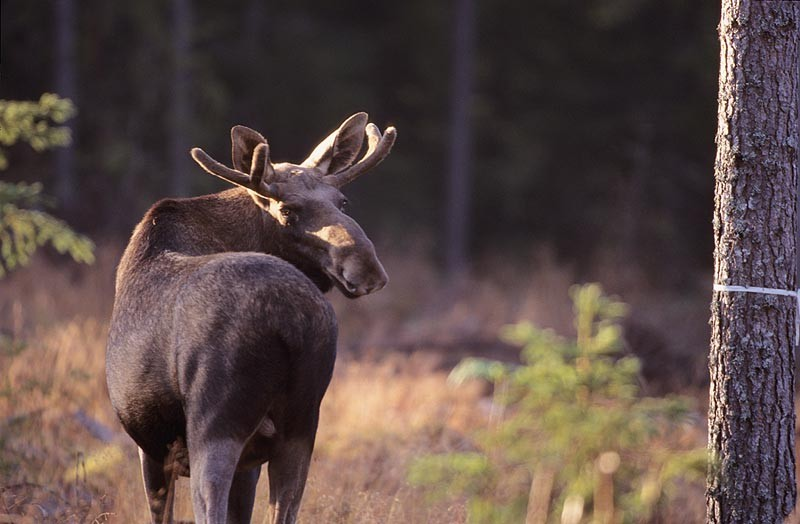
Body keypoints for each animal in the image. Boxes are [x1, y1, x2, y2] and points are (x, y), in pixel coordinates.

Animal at [104, 112, 396, 520]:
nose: (366, 267)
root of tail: (288, 321)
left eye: (343, 201)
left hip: (215, 424)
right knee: (285, 506)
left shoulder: (151, 448)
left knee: (209, 501)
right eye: (287, 210)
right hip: (302, 424)